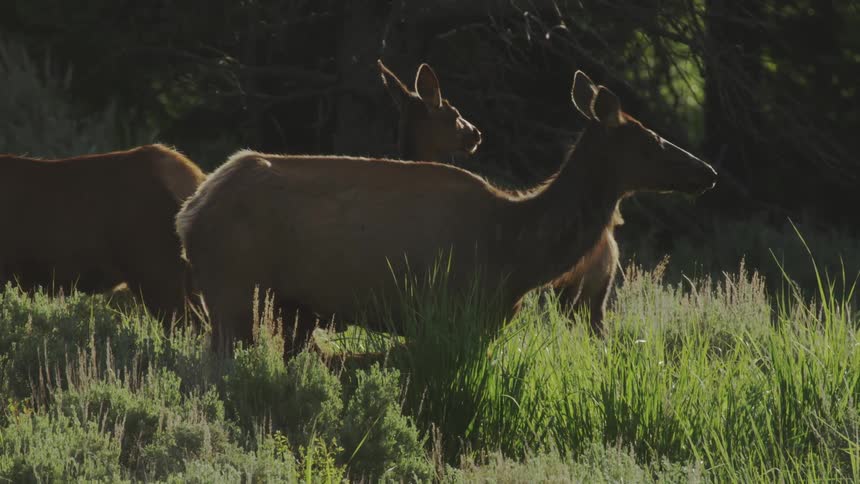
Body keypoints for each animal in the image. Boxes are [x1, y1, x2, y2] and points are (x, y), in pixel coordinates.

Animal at [175, 70, 717, 355]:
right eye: (651, 140)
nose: (707, 171)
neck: (516, 252)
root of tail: (190, 212)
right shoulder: (446, 310)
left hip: (282, 306)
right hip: (233, 289)